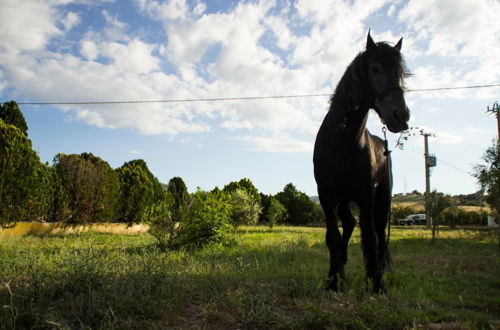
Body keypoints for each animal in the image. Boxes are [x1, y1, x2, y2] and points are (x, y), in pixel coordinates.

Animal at [312, 31, 410, 294]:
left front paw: (376, 284)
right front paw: (333, 281)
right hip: (345, 200)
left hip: (382, 200)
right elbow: (332, 237)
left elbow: (371, 238)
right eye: (375, 68)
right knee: (348, 224)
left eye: (400, 72)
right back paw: (341, 266)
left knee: (376, 234)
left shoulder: (367, 196)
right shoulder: (326, 196)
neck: (343, 142)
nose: (401, 115)